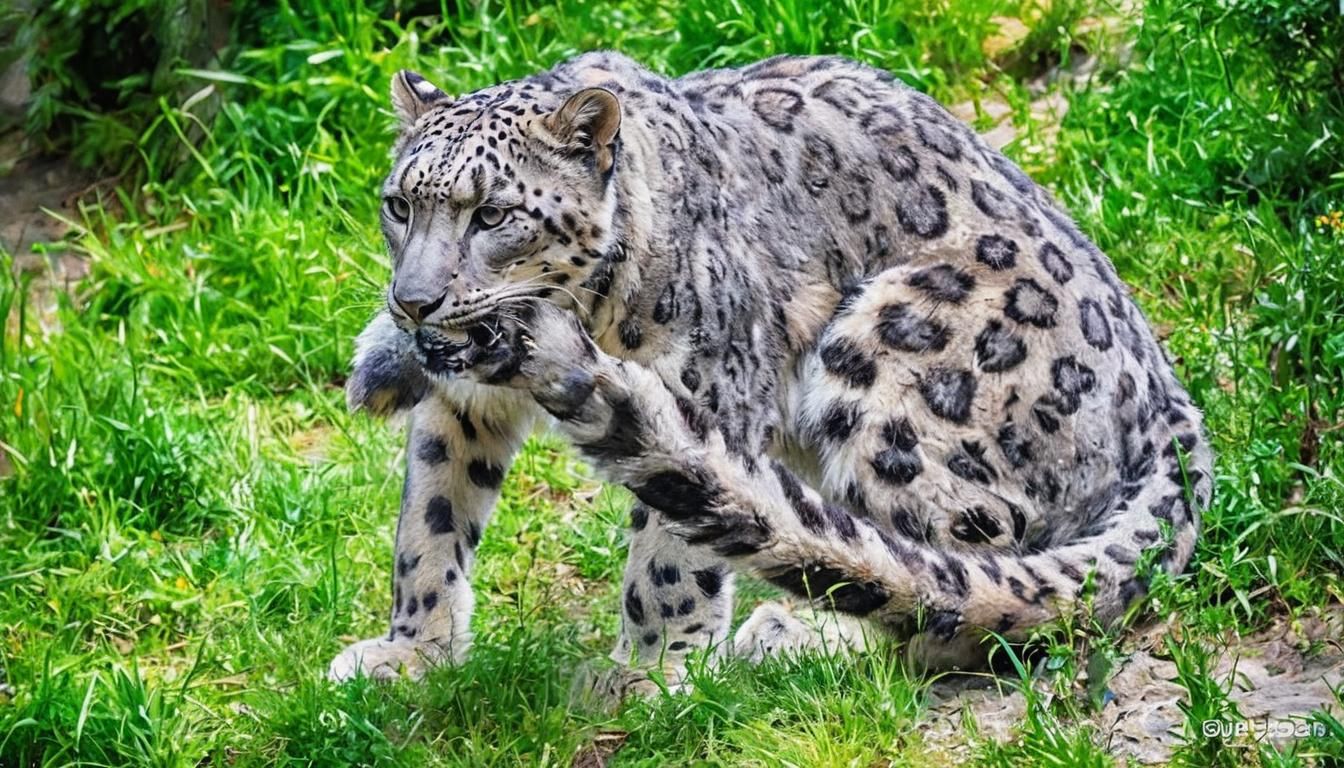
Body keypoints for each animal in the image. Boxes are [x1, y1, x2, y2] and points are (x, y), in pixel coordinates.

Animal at [326, 51, 1213, 697]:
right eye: (400, 204)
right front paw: (412, 652)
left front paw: (648, 672)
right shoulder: (461, 404)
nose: (413, 302)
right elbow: (431, 517)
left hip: (891, 362)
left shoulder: (707, 381)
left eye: (493, 213)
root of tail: (1168, 396)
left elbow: (670, 557)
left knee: (959, 576)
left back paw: (797, 635)